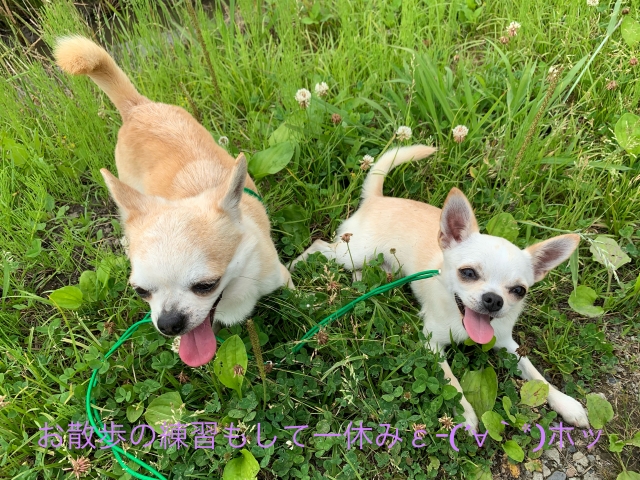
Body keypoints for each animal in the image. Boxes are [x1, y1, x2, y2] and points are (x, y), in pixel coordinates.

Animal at [291, 145, 589, 429]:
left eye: (518, 291)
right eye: (468, 273)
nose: (494, 300)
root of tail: (379, 198)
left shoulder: (506, 343)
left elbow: (536, 375)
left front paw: (566, 403)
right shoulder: (431, 342)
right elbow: (452, 382)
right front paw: (465, 414)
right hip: (353, 251)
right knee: (319, 245)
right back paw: (293, 274)